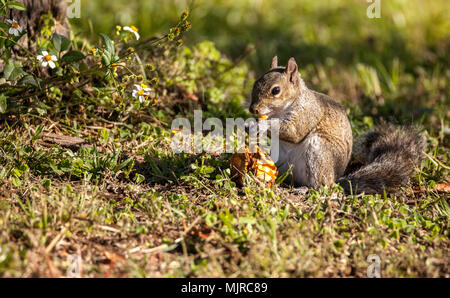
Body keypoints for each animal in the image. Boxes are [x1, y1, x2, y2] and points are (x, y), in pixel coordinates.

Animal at [250, 56, 426, 194]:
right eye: (254, 84)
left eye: (276, 90)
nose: (253, 109)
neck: (280, 110)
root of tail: (336, 180)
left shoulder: (308, 113)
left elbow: (294, 132)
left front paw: (262, 124)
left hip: (319, 151)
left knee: (322, 186)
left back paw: (305, 188)